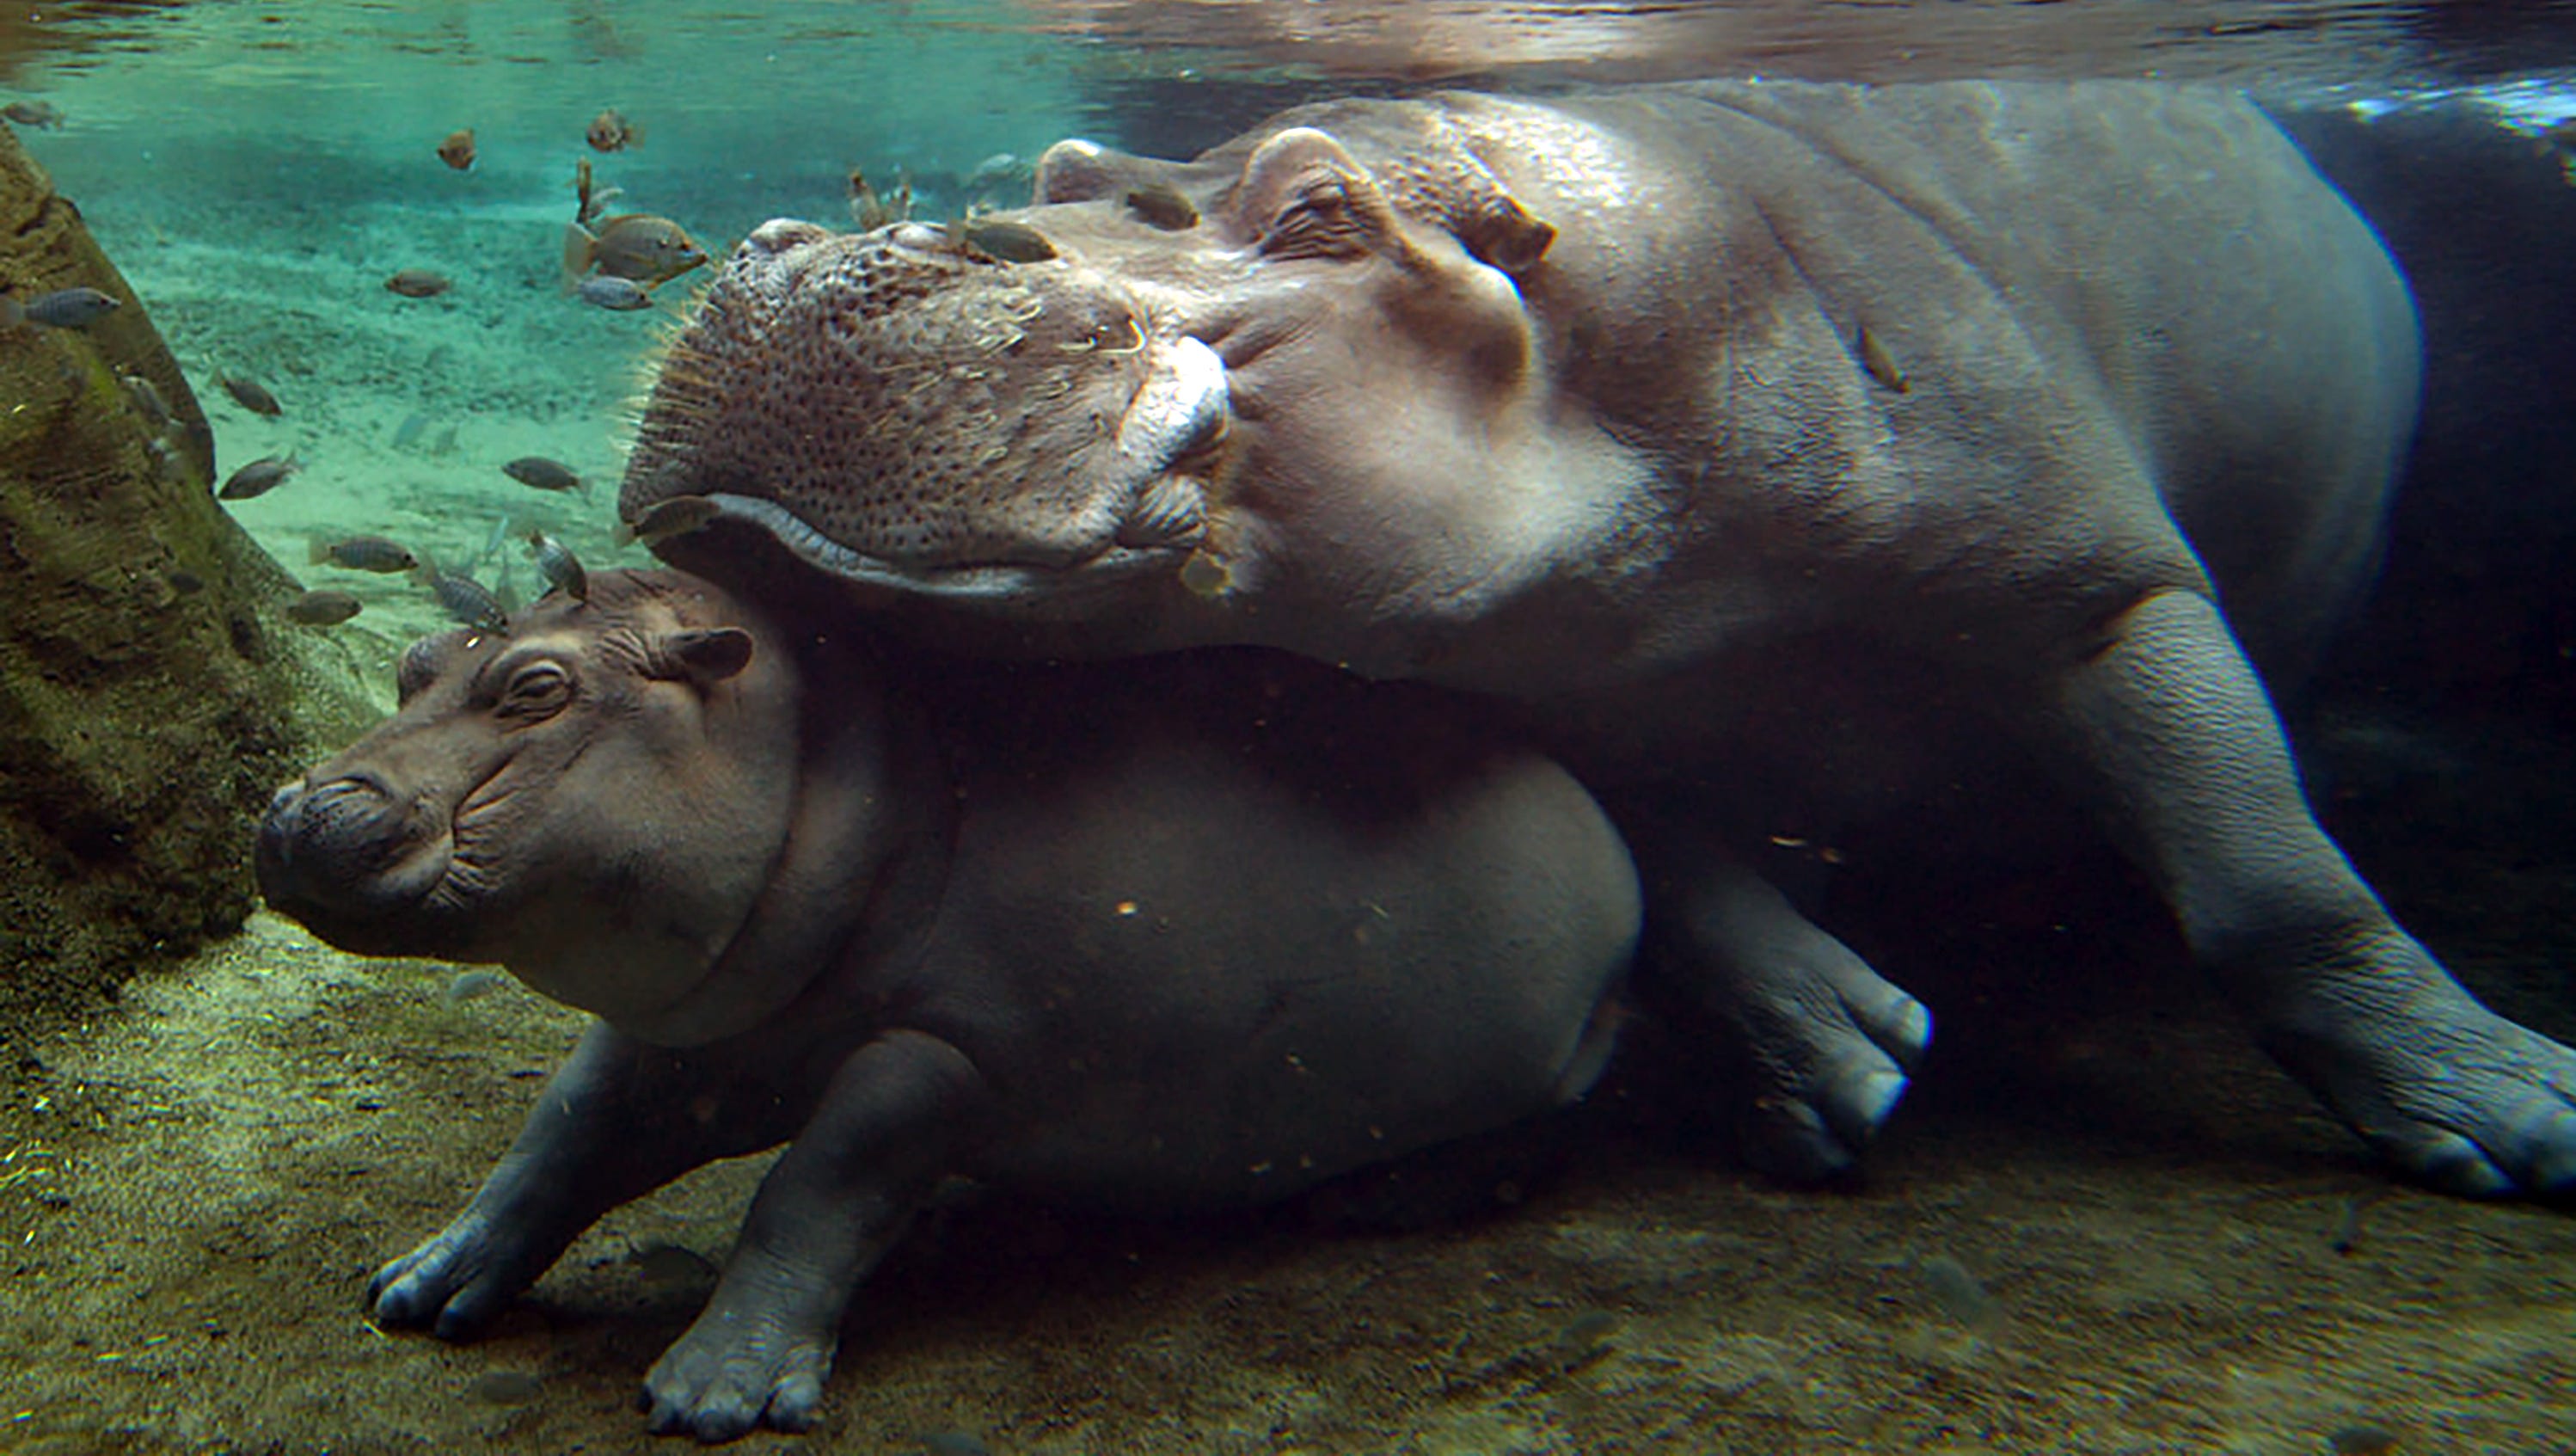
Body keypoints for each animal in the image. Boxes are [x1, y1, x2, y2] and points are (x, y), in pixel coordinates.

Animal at [254, 570, 1639, 1441]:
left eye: (536, 688)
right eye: (416, 660)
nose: (302, 811)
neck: (841, 776)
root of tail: (1614, 839)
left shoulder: (949, 1056)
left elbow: (811, 1190)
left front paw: (711, 1395)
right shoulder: (695, 1033)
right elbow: (556, 1137)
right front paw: (420, 1289)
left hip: (1576, 1033)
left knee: (1563, 1117)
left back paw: (1387, 1201)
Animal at [617, 80, 2576, 1198]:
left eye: (1319, 206)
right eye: (1066, 157)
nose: (801, 246)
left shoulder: (2099, 584)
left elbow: (2267, 880)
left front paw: (2508, 1117)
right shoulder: (1546, 667)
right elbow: (1672, 871)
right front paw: (1839, 1068)